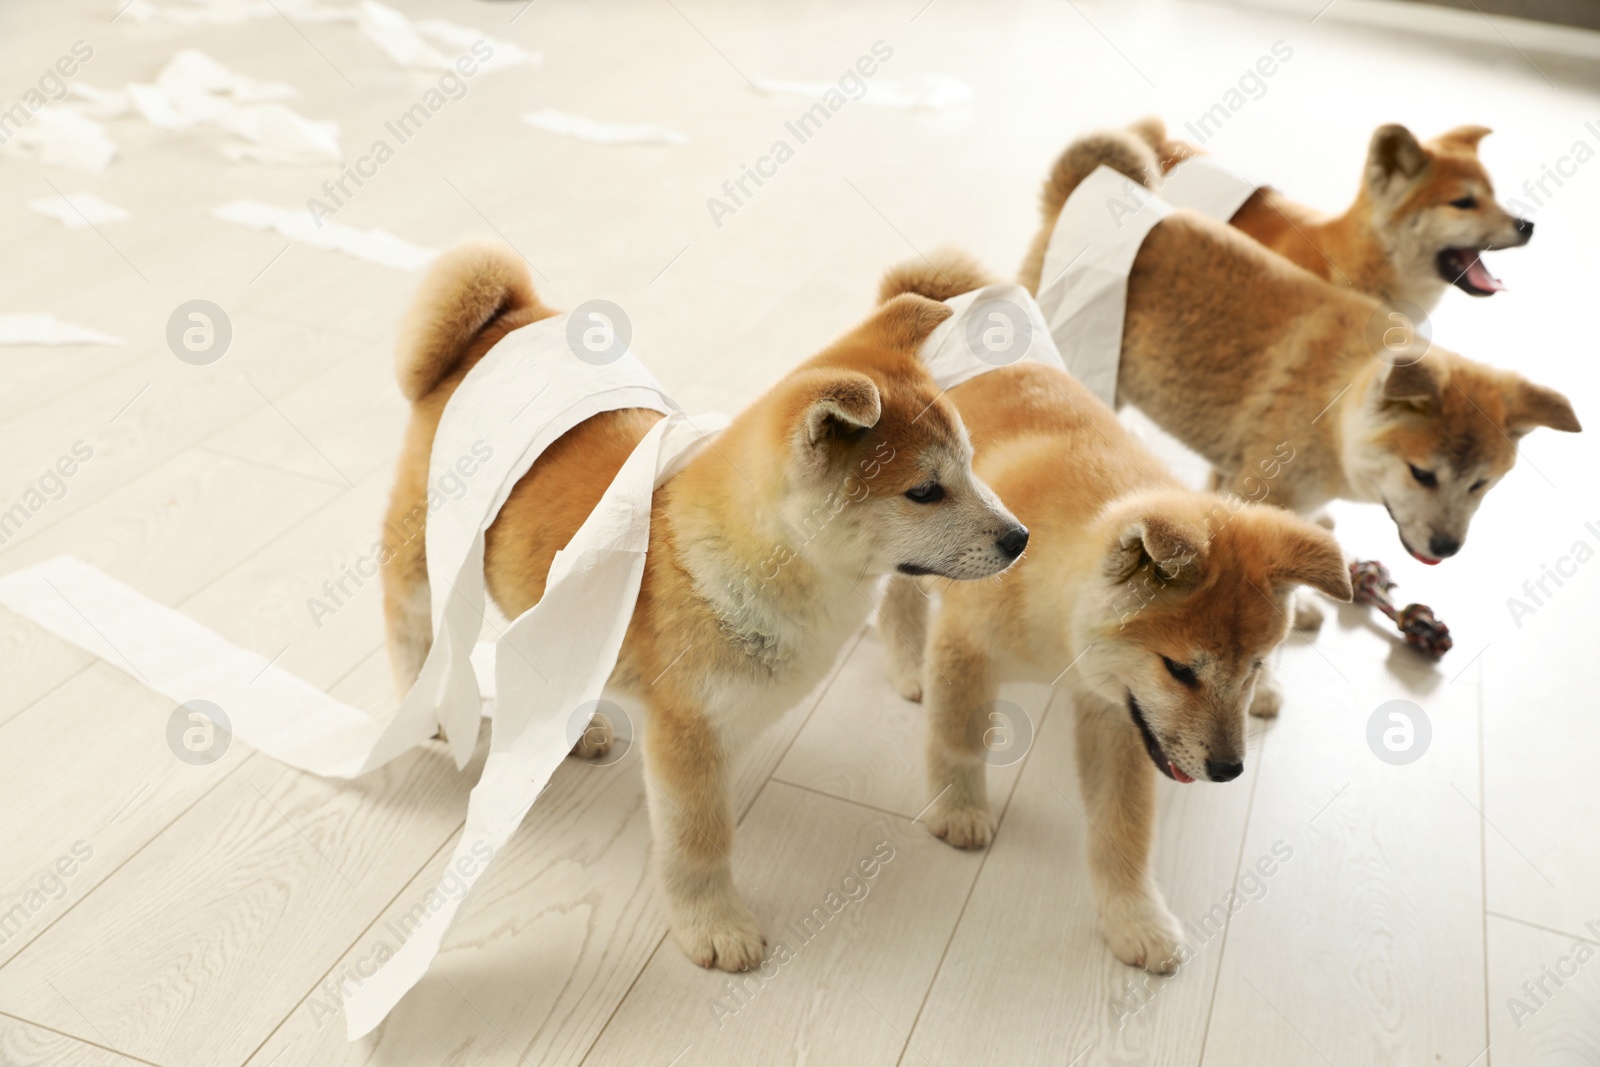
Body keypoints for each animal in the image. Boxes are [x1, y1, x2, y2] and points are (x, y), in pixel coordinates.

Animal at [876, 251, 1350, 979]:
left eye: (1255, 668)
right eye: (1181, 670)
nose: (1228, 770)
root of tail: (951, 294)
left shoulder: (1117, 713)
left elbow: (1123, 829)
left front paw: (1135, 918)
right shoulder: (967, 647)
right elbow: (957, 741)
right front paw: (957, 809)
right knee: (899, 592)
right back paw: (906, 661)